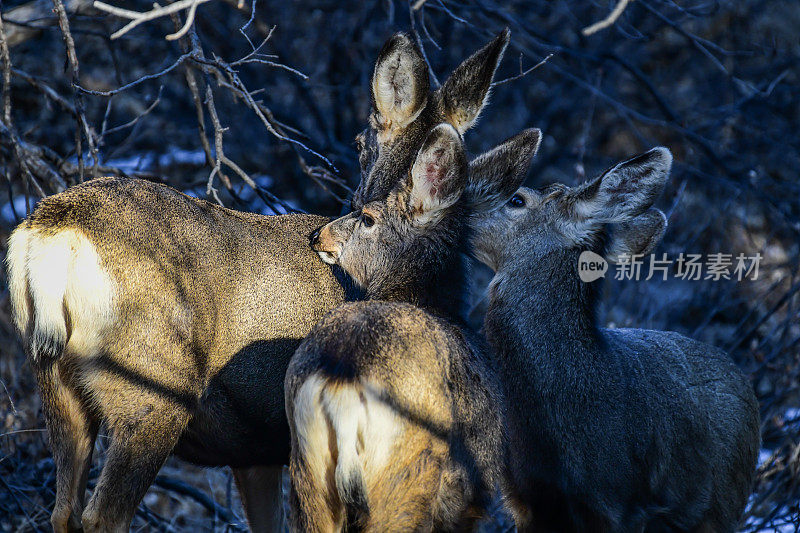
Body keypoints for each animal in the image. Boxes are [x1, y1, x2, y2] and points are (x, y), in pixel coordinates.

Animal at [6, 30, 512, 532]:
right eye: (359, 142)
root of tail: (54, 231)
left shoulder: (255, 454)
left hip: (53, 375)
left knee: (64, 509)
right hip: (152, 386)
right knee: (103, 515)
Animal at [284, 125, 540, 532]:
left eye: (367, 217)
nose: (317, 235)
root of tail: (342, 379)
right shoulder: (469, 500)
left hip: (307, 470)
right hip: (407, 477)